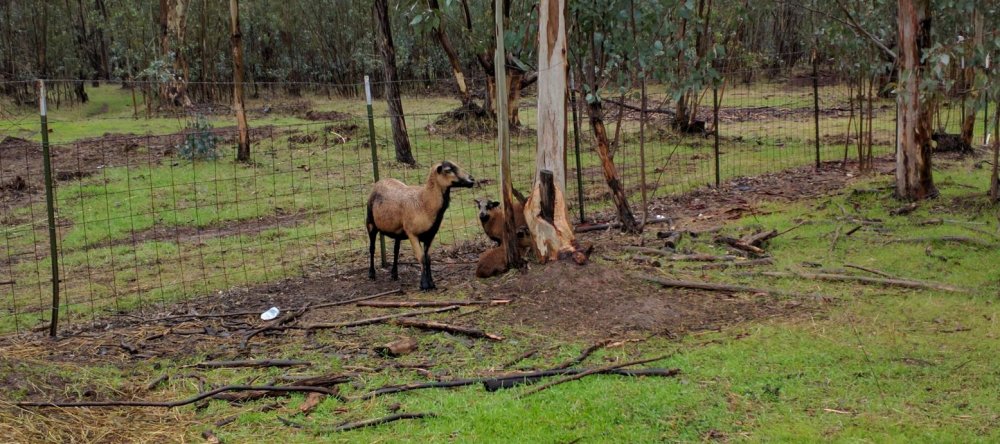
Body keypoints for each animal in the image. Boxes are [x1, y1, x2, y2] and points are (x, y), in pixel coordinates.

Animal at [368, 161, 476, 290]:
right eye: (448, 170)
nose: (472, 179)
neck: (425, 202)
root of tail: (381, 180)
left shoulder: (430, 235)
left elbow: (428, 259)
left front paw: (432, 284)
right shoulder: (412, 234)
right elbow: (422, 258)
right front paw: (424, 285)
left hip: (398, 230)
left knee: (396, 250)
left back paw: (394, 274)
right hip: (370, 223)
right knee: (372, 248)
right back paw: (372, 274)